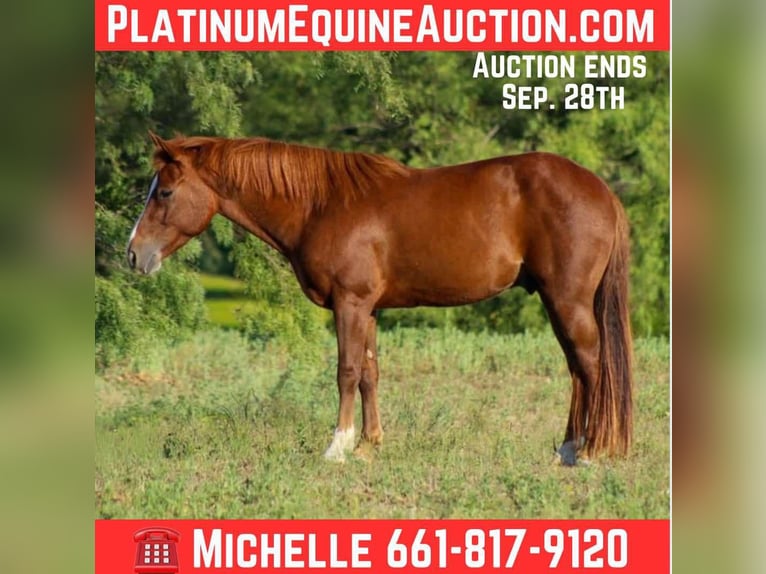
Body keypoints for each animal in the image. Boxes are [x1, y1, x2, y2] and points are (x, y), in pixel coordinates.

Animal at [127, 131, 633, 465]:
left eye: (165, 191)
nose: (134, 254)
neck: (321, 205)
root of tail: (600, 189)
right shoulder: (367, 308)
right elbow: (370, 373)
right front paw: (370, 443)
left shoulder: (349, 304)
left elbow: (347, 371)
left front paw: (337, 447)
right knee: (576, 369)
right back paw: (568, 448)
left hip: (566, 300)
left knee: (590, 365)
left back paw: (589, 451)